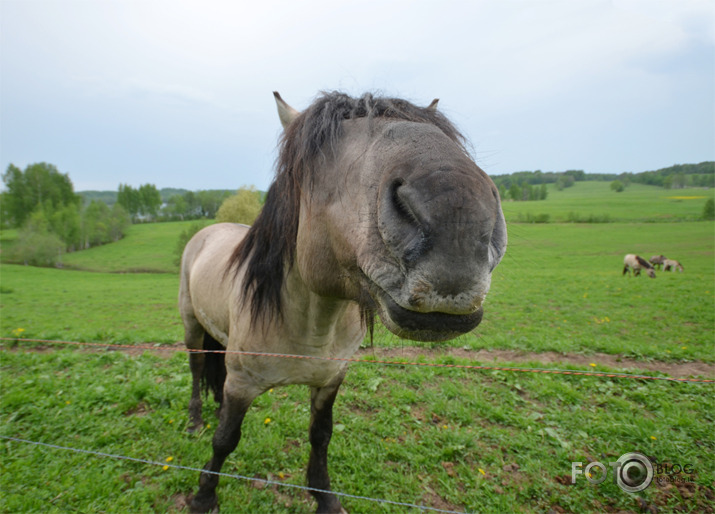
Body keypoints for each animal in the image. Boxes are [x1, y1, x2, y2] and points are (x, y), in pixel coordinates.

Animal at [180, 90, 510, 510]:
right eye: (318, 157)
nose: (458, 218)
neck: (311, 325)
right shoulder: (241, 383)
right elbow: (224, 440)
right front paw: (204, 496)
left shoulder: (330, 380)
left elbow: (320, 436)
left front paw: (325, 499)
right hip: (192, 326)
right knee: (195, 368)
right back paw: (195, 420)